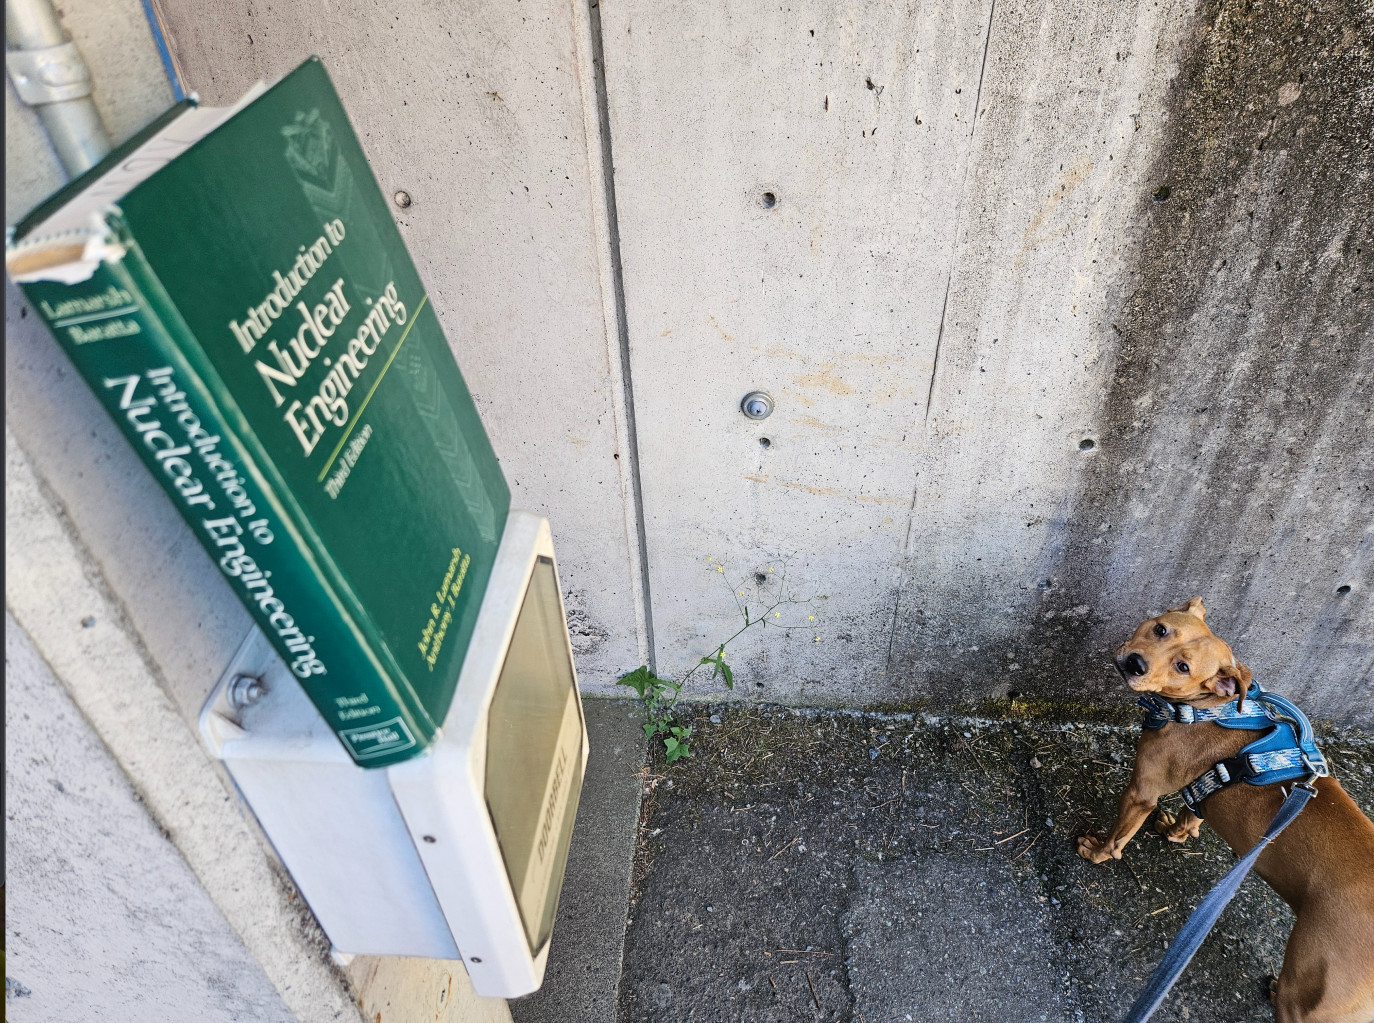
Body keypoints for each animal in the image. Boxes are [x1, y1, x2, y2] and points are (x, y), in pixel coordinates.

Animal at [1077, 598, 1374, 1021]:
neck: (1208, 709)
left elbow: (1118, 837)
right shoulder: (1206, 790)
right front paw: (1176, 831)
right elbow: (1193, 811)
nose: (1135, 663)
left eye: (1183, 667)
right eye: (1161, 629)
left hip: (1312, 995)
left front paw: (1097, 851)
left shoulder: (1141, 793)